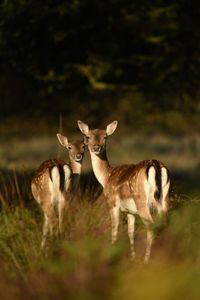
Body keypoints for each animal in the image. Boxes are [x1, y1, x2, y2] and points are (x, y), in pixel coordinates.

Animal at [77, 119, 171, 262]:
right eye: (88, 137)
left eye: (105, 137)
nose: (96, 147)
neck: (106, 177)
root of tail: (156, 165)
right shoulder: (130, 211)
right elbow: (130, 232)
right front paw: (132, 257)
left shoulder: (112, 203)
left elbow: (114, 229)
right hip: (165, 199)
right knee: (165, 224)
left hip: (142, 201)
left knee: (151, 226)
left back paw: (146, 259)